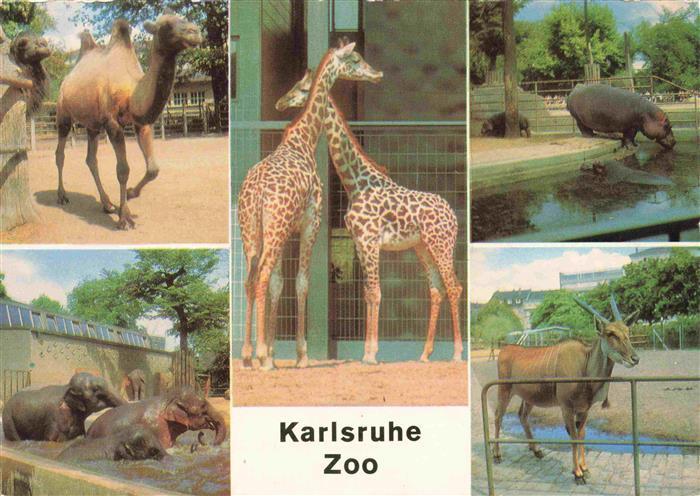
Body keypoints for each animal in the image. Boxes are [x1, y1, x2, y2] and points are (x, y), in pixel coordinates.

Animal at [55, 11, 202, 229]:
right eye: (166, 24)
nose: (195, 32)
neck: (131, 94)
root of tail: (66, 78)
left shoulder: (142, 124)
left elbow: (153, 169)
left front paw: (131, 194)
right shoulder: (112, 124)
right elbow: (123, 169)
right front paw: (125, 218)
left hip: (92, 125)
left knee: (91, 159)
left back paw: (107, 204)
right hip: (63, 113)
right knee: (60, 153)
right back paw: (62, 196)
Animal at [237, 42, 382, 370]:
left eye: (299, 85)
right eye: (356, 58)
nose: (376, 73)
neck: (304, 139)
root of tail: (257, 192)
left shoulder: (287, 230)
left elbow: (279, 283)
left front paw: (274, 353)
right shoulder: (310, 222)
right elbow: (301, 282)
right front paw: (300, 355)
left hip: (251, 232)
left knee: (250, 279)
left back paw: (249, 354)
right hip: (273, 230)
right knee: (260, 277)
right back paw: (259, 354)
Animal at [276, 70, 464, 364]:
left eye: (303, 88)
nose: (280, 102)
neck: (356, 182)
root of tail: (454, 216)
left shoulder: (370, 241)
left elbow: (375, 292)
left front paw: (372, 354)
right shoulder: (360, 243)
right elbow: (367, 293)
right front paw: (367, 351)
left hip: (442, 245)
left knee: (454, 287)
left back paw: (456, 354)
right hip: (422, 247)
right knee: (437, 290)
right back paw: (424, 354)